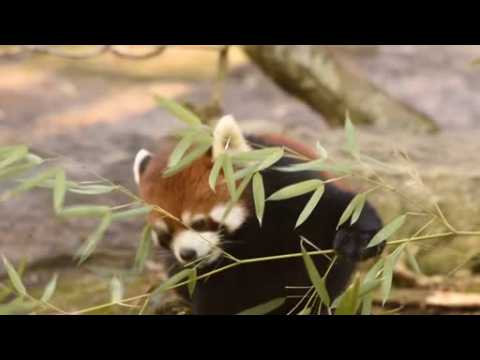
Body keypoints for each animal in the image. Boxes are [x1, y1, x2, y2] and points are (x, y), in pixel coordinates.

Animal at [132, 116, 386, 316]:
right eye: (164, 234)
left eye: (199, 223)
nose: (187, 254)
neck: (250, 235)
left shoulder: (288, 188)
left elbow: (340, 207)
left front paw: (358, 239)